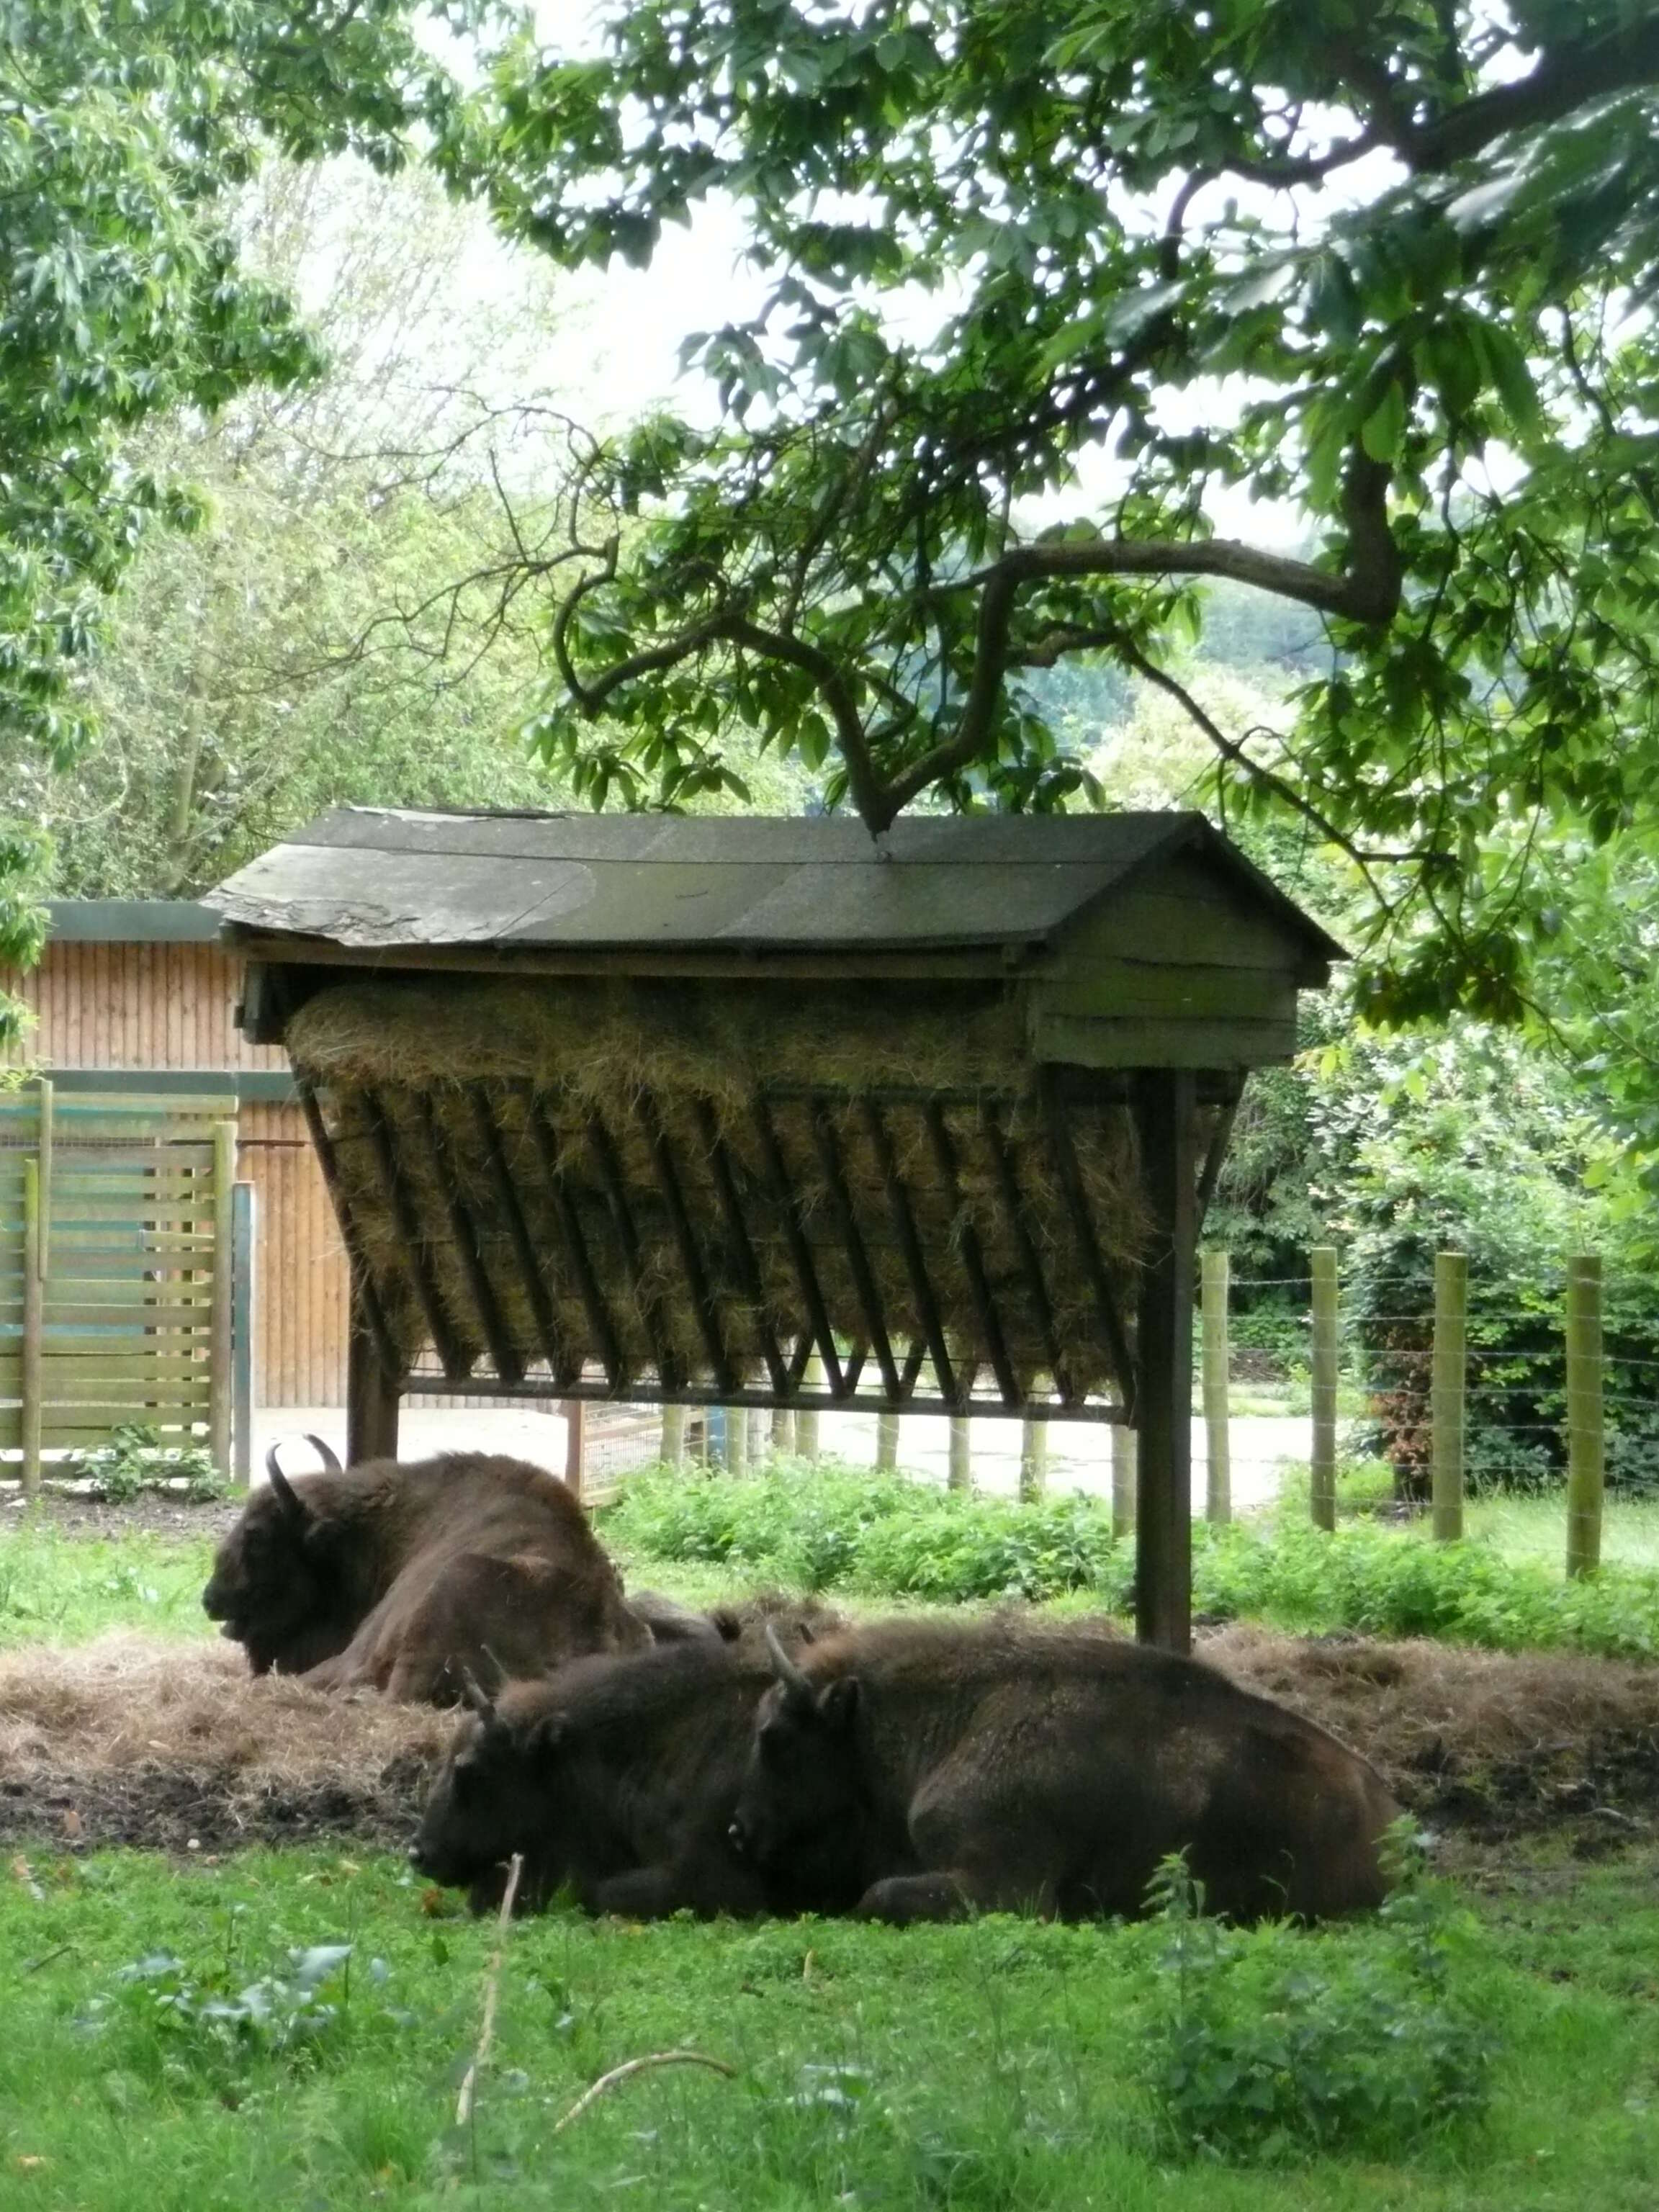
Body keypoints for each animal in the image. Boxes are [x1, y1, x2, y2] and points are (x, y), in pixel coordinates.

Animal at [734, 1619, 1406, 1928]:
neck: (965, 1718)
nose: (739, 1832)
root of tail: (1387, 1814)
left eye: (773, 1737)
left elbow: (877, 1895)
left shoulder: (1005, 1887)